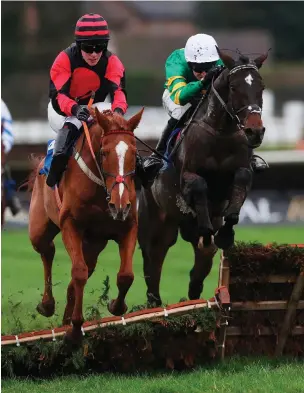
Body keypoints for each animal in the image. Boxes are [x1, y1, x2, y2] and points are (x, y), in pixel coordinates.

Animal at [27, 107, 144, 340]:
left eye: (134, 153)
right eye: (104, 152)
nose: (119, 204)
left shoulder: (128, 225)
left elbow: (126, 275)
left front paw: (116, 306)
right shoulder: (70, 224)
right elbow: (78, 273)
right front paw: (76, 326)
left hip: (94, 244)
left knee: (76, 274)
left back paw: (63, 319)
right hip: (38, 229)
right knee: (48, 250)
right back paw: (47, 305)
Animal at [139, 49, 268, 304]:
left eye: (261, 86)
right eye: (234, 87)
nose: (255, 131)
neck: (220, 132)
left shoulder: (242, 172)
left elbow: (241, 180)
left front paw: (226, 234)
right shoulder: (187, 176)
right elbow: (198, 184)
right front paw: (209, 232)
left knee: (199, 265)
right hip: (157, 225)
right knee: (153, 263)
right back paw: (154, 301)